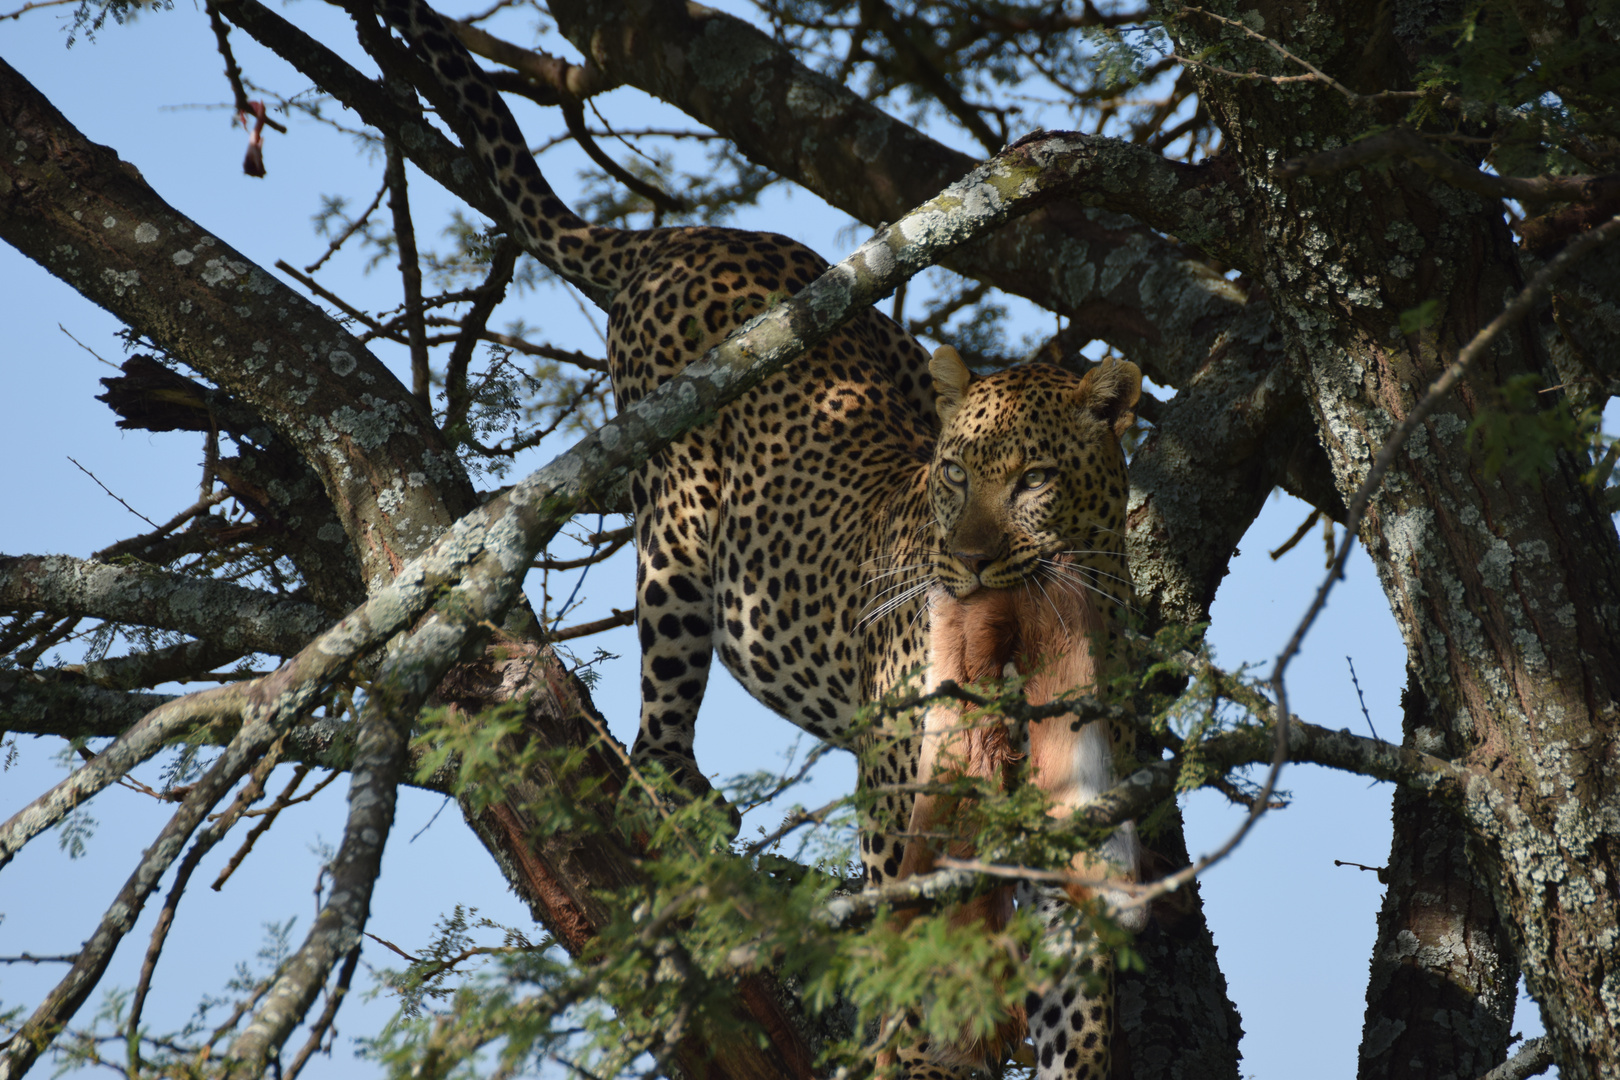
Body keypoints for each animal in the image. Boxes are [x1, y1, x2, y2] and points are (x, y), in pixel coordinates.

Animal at [370, 2, 1140, 1080]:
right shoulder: (897, 800)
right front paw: (911, 1050)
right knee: (656, 717)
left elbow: (1081, 1007)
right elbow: (906, 954)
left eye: (1032, 480)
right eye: (952, 473)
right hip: (677, 530)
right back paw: (676, 794)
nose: (971, 561)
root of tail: (688, 234)